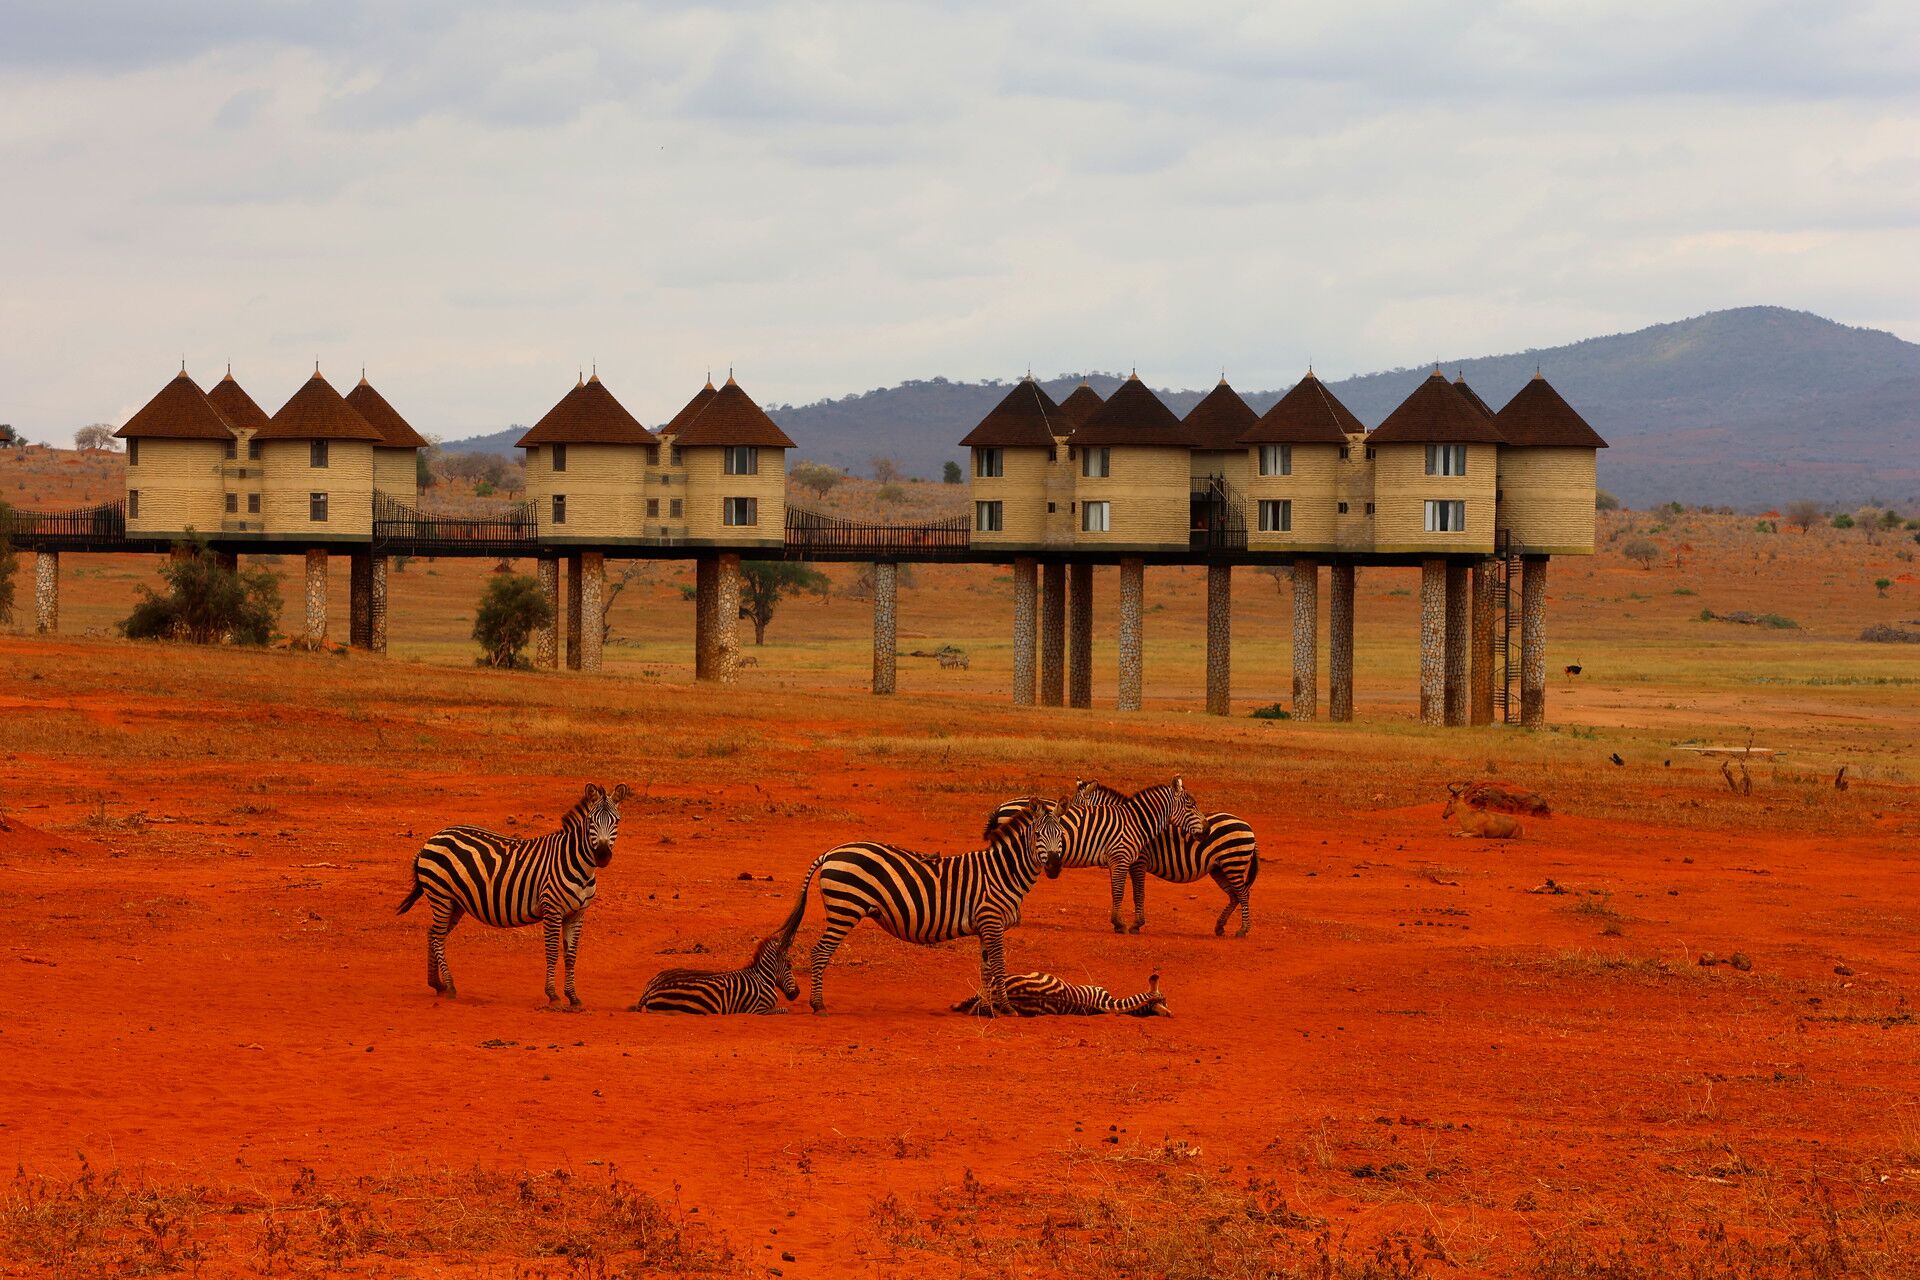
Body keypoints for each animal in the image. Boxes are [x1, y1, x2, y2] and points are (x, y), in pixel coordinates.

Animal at [397, 782, 631, 1008]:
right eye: (591, 821)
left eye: (617, 821)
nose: (602, 855)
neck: (577, 864)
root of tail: (433, 837)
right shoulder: (552, 909)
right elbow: (552, 952)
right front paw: (553, 996)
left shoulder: (577, 914)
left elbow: (571, 957)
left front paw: (573, 997)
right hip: (441, 896)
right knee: (437, 936)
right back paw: (450, 985)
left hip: (456, 903)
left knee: (432, 933)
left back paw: (437, 984)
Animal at [633, 935, 799, 1014]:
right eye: (789, 966)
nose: (797, 993)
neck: (762, 978)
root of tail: (650, 992)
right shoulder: (756, 1010)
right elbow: (784, 1010)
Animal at [776, 795, 1070, 1015]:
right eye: (1038, 835)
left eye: (1061, 835)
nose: (1055, 867)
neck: (1002, 872)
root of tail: (831, 852)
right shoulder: (992, 921)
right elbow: (998, 965)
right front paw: (1006, 1008)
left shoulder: (985, 927)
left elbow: (986, 969)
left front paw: (985, 1008)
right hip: (845, 909)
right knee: (820, 952)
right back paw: (818, 1005)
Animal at [989, 779, 1205, 934]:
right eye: (1191, 806)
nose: (1207, 829)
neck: (1135, 822)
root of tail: (1002, 806)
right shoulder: (1125, 859)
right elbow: (1125, 892)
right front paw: (1123, 924)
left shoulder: (1119, 860)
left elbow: (1121, 891)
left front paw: (1124, 922)